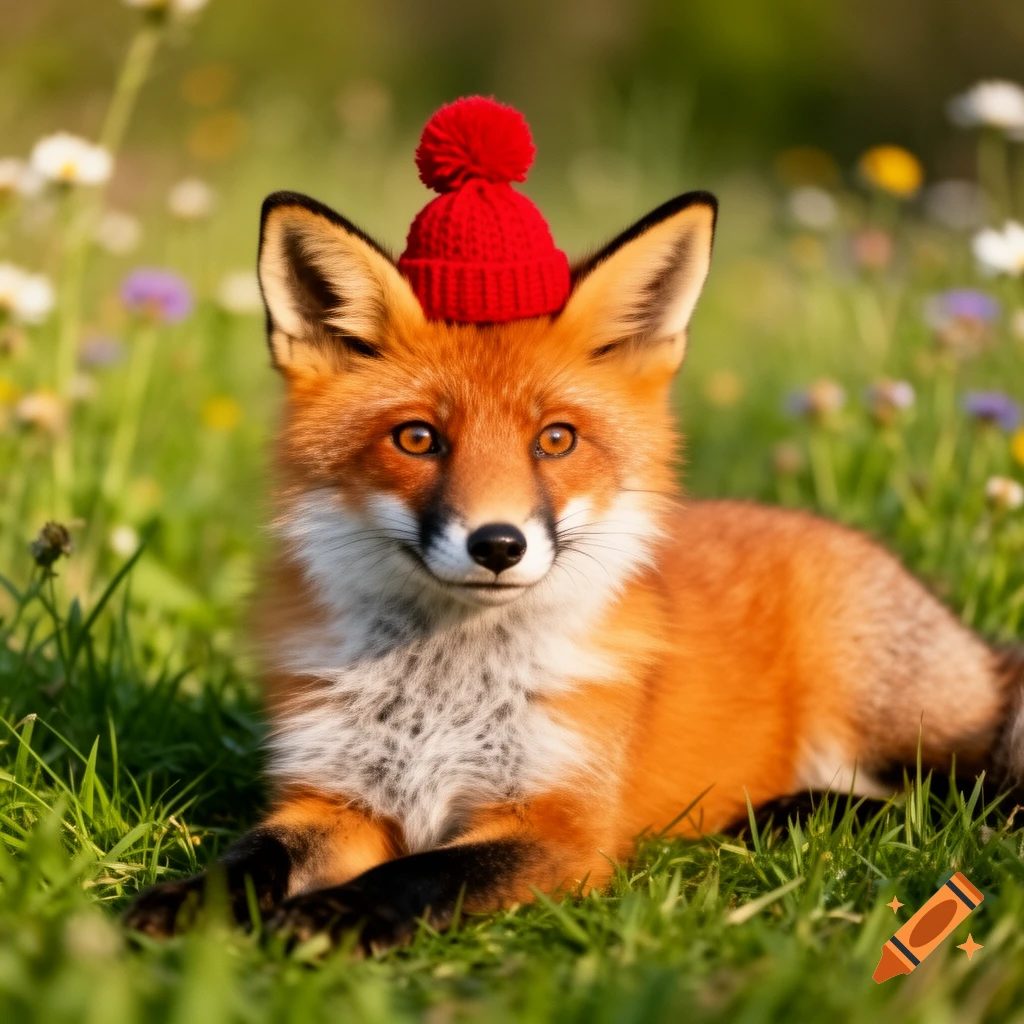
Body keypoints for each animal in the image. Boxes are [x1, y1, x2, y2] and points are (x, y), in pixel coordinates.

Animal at [124, 186, 1024, 950]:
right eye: (417, 438)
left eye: (555, 439)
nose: (497, 544)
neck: (439, 695)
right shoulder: (335, 797)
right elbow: (252, 857)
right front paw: (189, 903)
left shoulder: (560, 827)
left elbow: (422, 875)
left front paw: (332, 919)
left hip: (896, 715)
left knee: (962, 797)